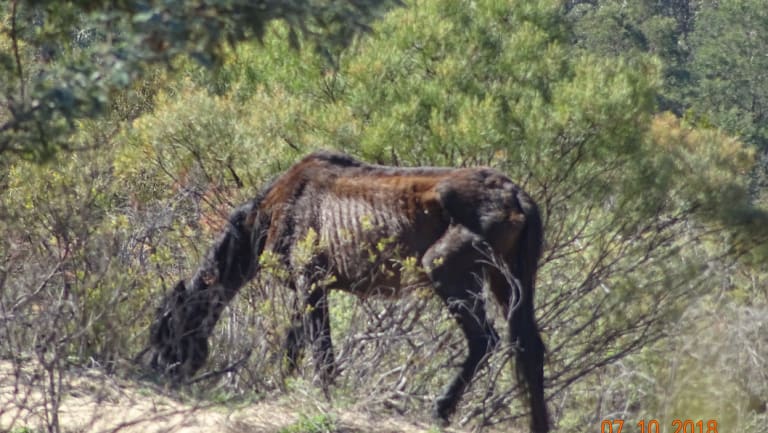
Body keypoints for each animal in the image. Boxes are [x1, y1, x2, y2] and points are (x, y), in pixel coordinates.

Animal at [147, 151, 549, 432]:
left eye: (168, 329)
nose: (157, 373)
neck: (274, 209)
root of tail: (516, 195)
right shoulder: (308, 289)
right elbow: (294, 346)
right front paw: (283, 390)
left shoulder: (311, 282)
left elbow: (321, 349)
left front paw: (325, 398)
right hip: (509, 281)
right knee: (529, 348)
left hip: (450, 273)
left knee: (484, 340)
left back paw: (442, 409)